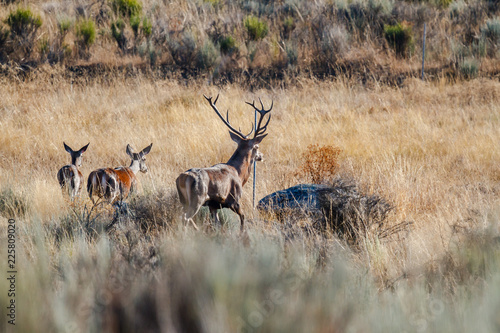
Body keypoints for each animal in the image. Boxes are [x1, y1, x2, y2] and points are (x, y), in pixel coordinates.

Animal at [177, 94, 274, 231]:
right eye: (257, 146)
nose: (261, 156)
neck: (239, 174)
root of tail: (183, 177)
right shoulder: (234, 200)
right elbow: (243, 218)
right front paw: (242, 233)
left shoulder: (213, 206)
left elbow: (217, 224)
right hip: (197, 197)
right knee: (185, 217)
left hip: (183, 199)